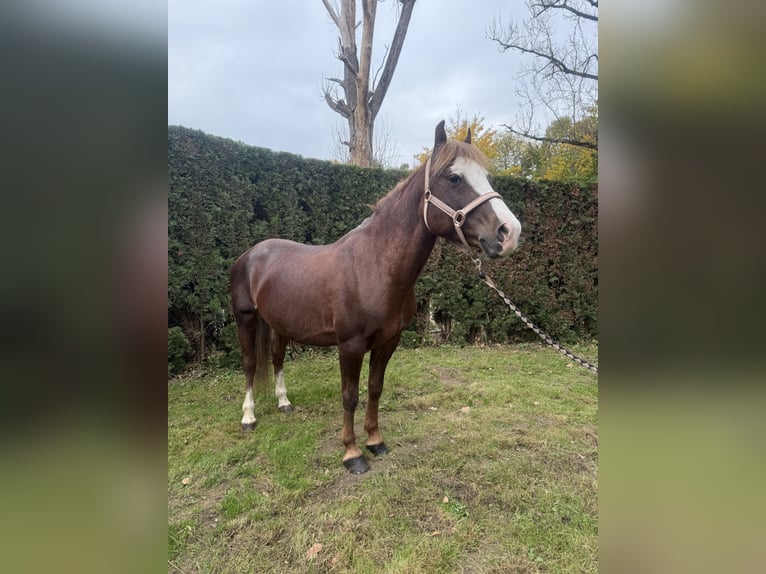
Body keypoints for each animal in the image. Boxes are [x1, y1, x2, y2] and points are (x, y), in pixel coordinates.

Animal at [230, 120, 521, 473]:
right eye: (454, 178)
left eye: (487, 177)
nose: (509, 232)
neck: (374, 267)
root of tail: (251, 254)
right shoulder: (350, 346)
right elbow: (350, 395)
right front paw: (352, 453)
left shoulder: (388, 342)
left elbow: (375, 389)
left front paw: (375, 441)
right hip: (245, 319)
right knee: (249, 363)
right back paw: (248, 416)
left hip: (280, 323)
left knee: (276, 358)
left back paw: (284, 403)